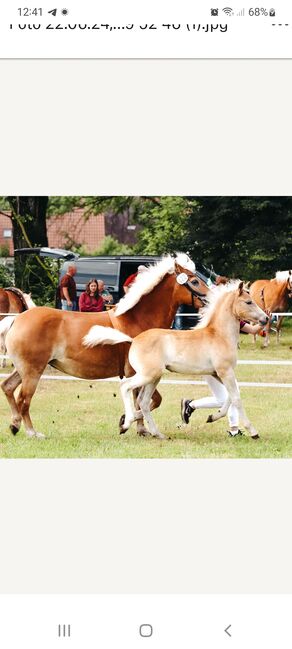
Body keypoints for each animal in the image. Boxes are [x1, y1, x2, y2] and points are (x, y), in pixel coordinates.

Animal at [1, 252, 209, 436]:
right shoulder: (136, 373)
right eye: (194, 281)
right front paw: (128, 424)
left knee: (8, 387)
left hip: (25, 369)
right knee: (23, 399)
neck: (137, 319)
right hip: (33, 371)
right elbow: (147, 401)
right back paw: (32, 432)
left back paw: (14, 424)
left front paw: (134, 425)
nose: (211, 299)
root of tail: (17, 319)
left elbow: (147, 401)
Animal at [88, 280, 266, 438]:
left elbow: (230, 397)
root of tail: (134, 340)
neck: (220, 335)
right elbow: (236, 398)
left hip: (154, 377)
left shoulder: (218, 374)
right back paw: (127, 423)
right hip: (148, 375)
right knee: (125, 386)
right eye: (249, 302)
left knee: (144, 402)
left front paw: (212, 417)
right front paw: (253, 432)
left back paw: (155, 433)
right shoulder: (225, 372)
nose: (265, 319)